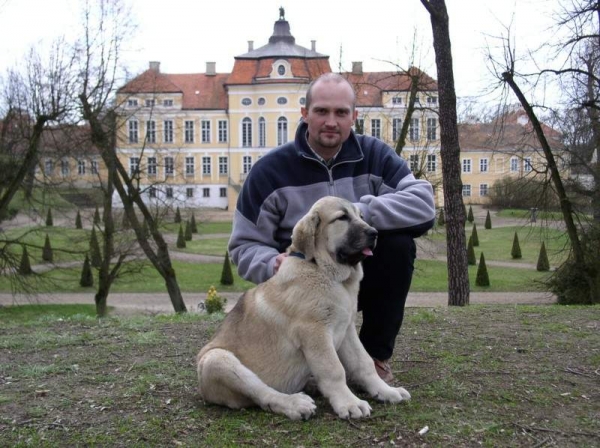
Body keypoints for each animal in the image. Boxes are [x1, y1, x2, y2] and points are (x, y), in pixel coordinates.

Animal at [197, 196, 412, 420]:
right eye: (342, 218)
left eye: (361, 216)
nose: (374, 233)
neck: (324, 271)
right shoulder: (314, 332)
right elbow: (334, 369)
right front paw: (349, 402)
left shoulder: (346, 329)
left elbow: (363, 362)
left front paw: (385, 391)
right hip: (217, 360)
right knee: (264, 394)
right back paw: (294, 403)